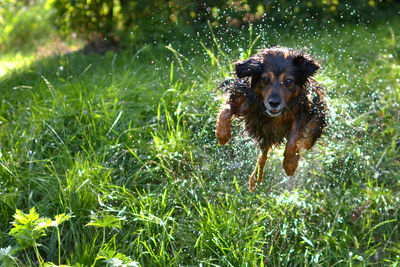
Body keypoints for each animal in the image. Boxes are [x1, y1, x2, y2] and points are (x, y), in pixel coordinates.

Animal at [217, 46, 326, 193]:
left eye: (289, 81)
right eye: (265, 79)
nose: (274, 103)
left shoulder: (302, 112)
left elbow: (292, 140)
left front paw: (290, 164)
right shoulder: (242, 100)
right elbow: (225, 111)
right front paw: (222, 135)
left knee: (304, 142)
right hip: (265, 134)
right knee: (263, 154)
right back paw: (255, 179)